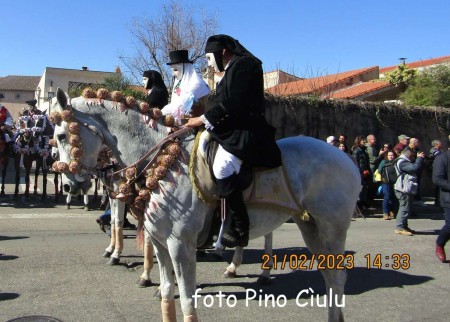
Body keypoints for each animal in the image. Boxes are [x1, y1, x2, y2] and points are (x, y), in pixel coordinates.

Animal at [52, 88, 360, 322]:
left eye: (61, 135)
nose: (68, 186)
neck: (164, 161)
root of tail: (346, 158)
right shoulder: (161, 242)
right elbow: (167, 292)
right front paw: (143, 276)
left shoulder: (180, 244)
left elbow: (188, 299)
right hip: (309, 226)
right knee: (328, 275)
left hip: (332, 229)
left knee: (337, 277)